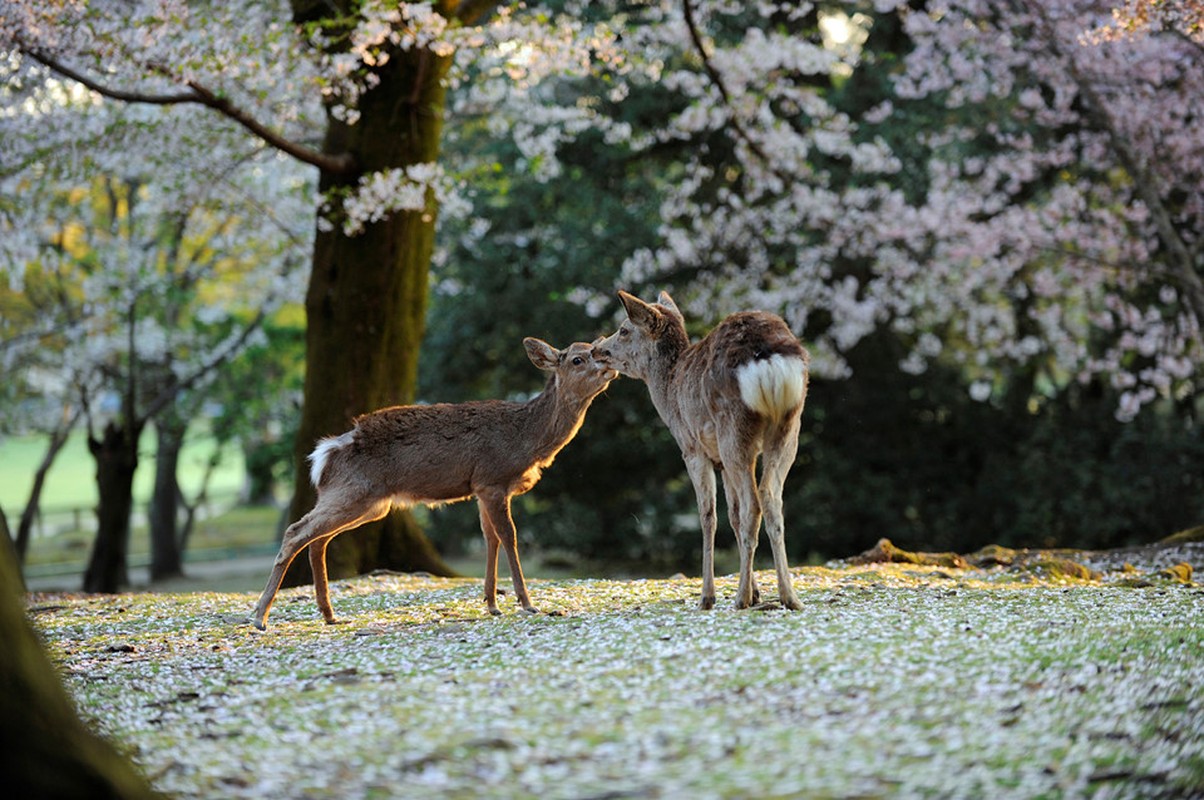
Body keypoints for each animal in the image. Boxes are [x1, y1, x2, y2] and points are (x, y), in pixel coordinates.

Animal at [248, 337, 616, 631]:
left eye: (595, 346)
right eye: (578, 358)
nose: (609, 365)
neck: (526, 439)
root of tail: (326, 454)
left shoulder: (480, 489)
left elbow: (490, 539)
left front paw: (492, 604)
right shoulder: (492, 479)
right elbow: (509, 537)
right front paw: (526, 603)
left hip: (368, 503)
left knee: (318, 540)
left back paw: (328, 614)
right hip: (354, 492)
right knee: (296, 531)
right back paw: (260, 617)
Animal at [594, 290, 809, 609]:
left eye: (623, 329)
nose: (596, 349)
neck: (670, 393)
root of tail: (768, 357)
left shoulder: (693, 449)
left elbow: (708, 515)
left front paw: (708, 597)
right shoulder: (721, 460)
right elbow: (732, 515)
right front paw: (757, 591)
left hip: (734, 427)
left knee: (753, 503)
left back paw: (741, 599)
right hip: (789, 425)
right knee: (770, 496)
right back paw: (789, 597)